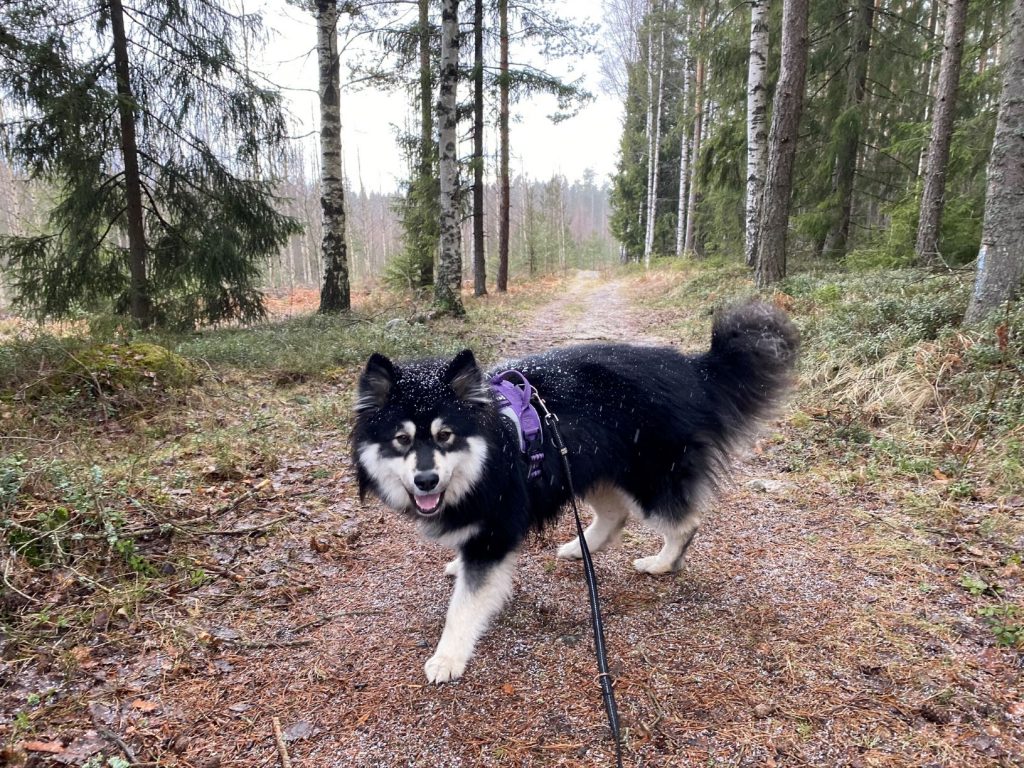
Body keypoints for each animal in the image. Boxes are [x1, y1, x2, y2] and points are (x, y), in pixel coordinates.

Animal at [352, 301, 798, 684]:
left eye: (445, 435)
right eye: (401, 440)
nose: (426, 480)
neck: (486, 456)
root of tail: (692, 368)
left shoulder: (495, 529)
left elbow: (464, 606)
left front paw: (448, 657)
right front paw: (455, 570)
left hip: (646, 478)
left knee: (684, 521)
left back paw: (662, 563)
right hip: (587, 468)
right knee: (616, 515)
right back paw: (578, 547)